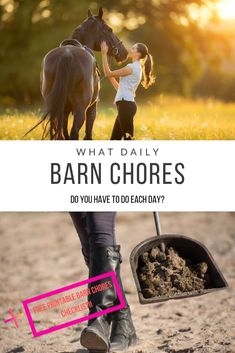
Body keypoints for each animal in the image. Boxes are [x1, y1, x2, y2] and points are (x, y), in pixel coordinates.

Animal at [24, 7, 127, 140]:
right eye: (110, 30)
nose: (124, 52)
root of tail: (66, 55)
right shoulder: (92, 108)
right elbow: (87, 134)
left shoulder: (65, 111)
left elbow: (64, 133)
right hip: (80, 110)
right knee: (74, 133)